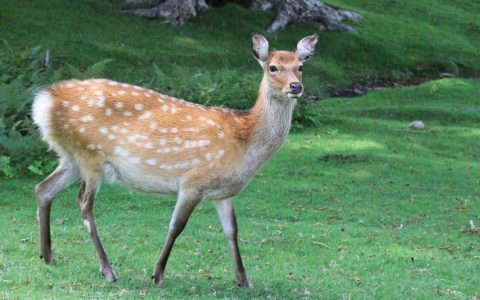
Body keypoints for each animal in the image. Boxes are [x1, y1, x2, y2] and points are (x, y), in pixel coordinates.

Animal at [33, 32, 318, 286]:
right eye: (273, 67)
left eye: (300, 66)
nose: (296, 86)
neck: (245, 142)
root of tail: (43, 103)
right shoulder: (193, 181)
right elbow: (176, 226)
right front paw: (157, 274)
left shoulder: (224, 192)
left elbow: (232, 231)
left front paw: (244, 280)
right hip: (90, 156)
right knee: (83, 203)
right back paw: (108, 271)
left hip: (71, 158)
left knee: (43, 188)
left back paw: (48, 256)